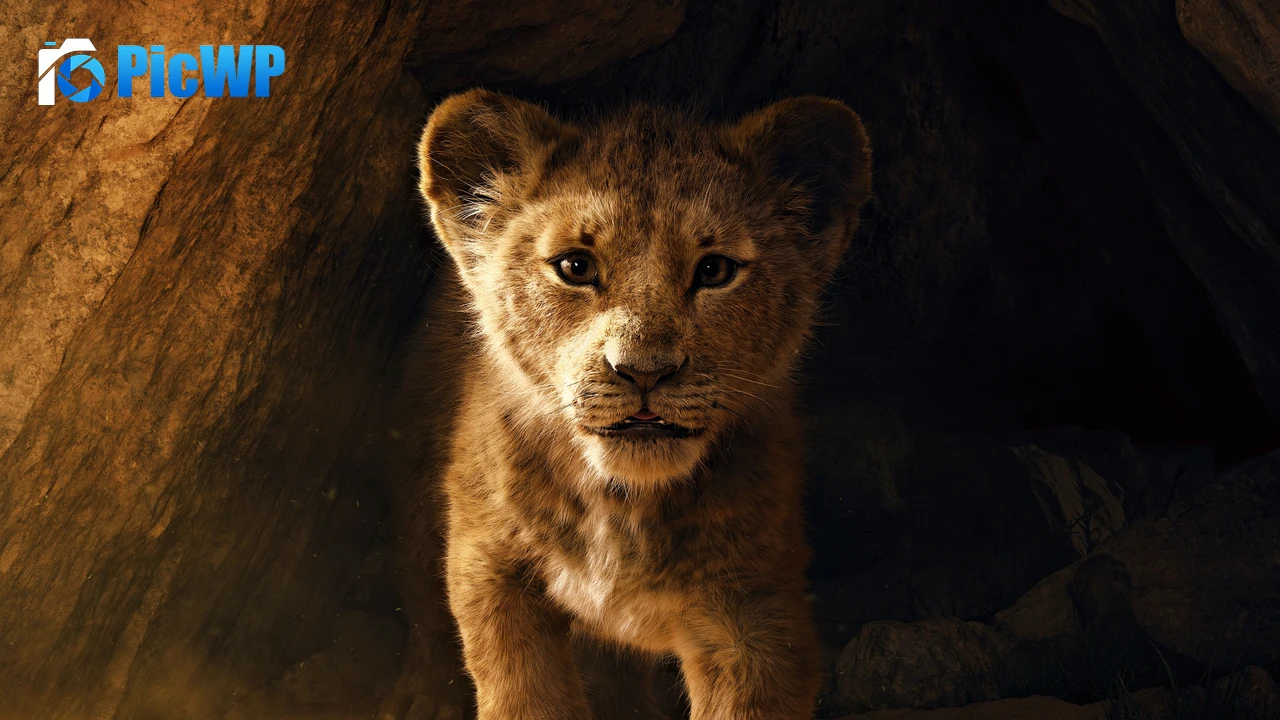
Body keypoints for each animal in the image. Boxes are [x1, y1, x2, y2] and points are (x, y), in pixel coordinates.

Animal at [385, 89, 873, 720]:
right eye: (575, 267)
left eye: (715, 270)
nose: (644, 370)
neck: (623, 506)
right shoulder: (488, 563)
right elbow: (523, 692)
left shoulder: (756, 611)